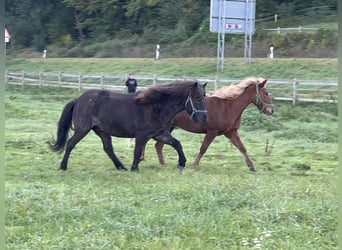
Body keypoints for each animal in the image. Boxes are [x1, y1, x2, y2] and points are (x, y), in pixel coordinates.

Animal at [49, 80, 207, 172]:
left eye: (204, 97)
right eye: (197, 98)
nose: (205, 118)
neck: (156, 106)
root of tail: (78, 99)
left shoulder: (159, 134)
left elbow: (177, 144)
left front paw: (181, 164)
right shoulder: (141, 135)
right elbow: (137, 152)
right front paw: (134, 168)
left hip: (102, 131)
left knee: (108, 149)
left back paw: (121, 167)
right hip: (82, 129)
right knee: (70, 144)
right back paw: (63, 166)